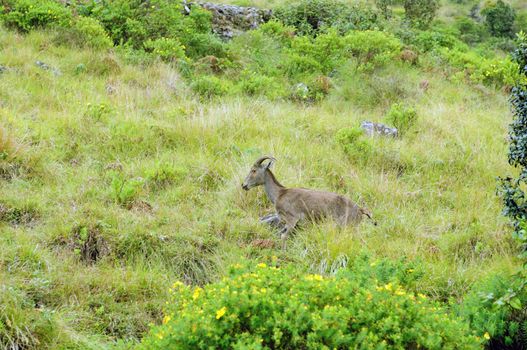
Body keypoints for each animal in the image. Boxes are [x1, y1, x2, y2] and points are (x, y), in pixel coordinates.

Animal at [241, 156, 378, 249]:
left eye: (253, 170)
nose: (244, 185)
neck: (280, 194)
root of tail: (360, 210)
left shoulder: (292, 219)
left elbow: (283, 236)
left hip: (348, 227)